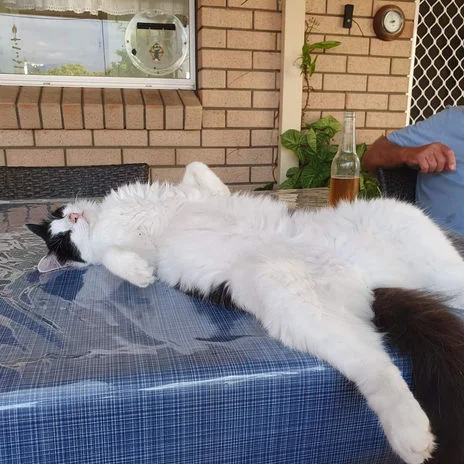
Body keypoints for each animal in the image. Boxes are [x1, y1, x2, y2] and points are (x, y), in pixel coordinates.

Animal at [27, 161, 464, 464]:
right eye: (63, 238)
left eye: (65, 219)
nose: (75, 216)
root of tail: (370, 280)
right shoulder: (128, 253)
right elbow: (114, 261)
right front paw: (139, 273)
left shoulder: (187, 186)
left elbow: (197, 169)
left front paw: (221, 191)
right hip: (294, 301)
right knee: (375, 365)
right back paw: (412, 435)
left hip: (406, 227)